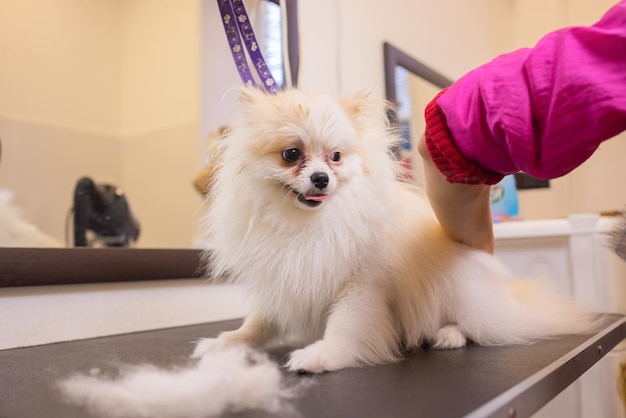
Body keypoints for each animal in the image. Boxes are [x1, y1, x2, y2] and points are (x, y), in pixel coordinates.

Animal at [194, 87, 596, 372]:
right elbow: (258, 323)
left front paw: (323, 355)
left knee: (474, 323)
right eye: (291, 155)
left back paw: (449, 334)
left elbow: (345, 326)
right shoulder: (283, 279)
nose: (321, 178)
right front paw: (227, 341)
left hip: (460, 287)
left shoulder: (361, 287)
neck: (305, 223)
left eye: (335, 157)